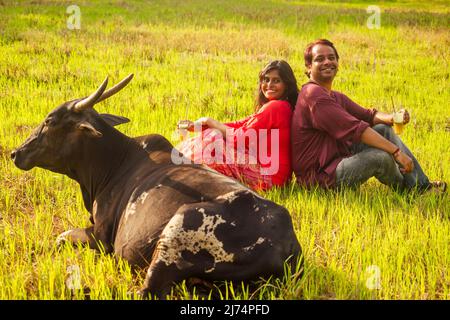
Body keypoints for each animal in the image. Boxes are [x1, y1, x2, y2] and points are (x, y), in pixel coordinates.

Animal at [10, 74, 302, 298]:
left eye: (50, 121)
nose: (15, 153)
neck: (110, 164)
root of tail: (287, 245)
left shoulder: (102, 238)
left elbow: (60, 238)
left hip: (174, 235)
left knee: (146, 291)